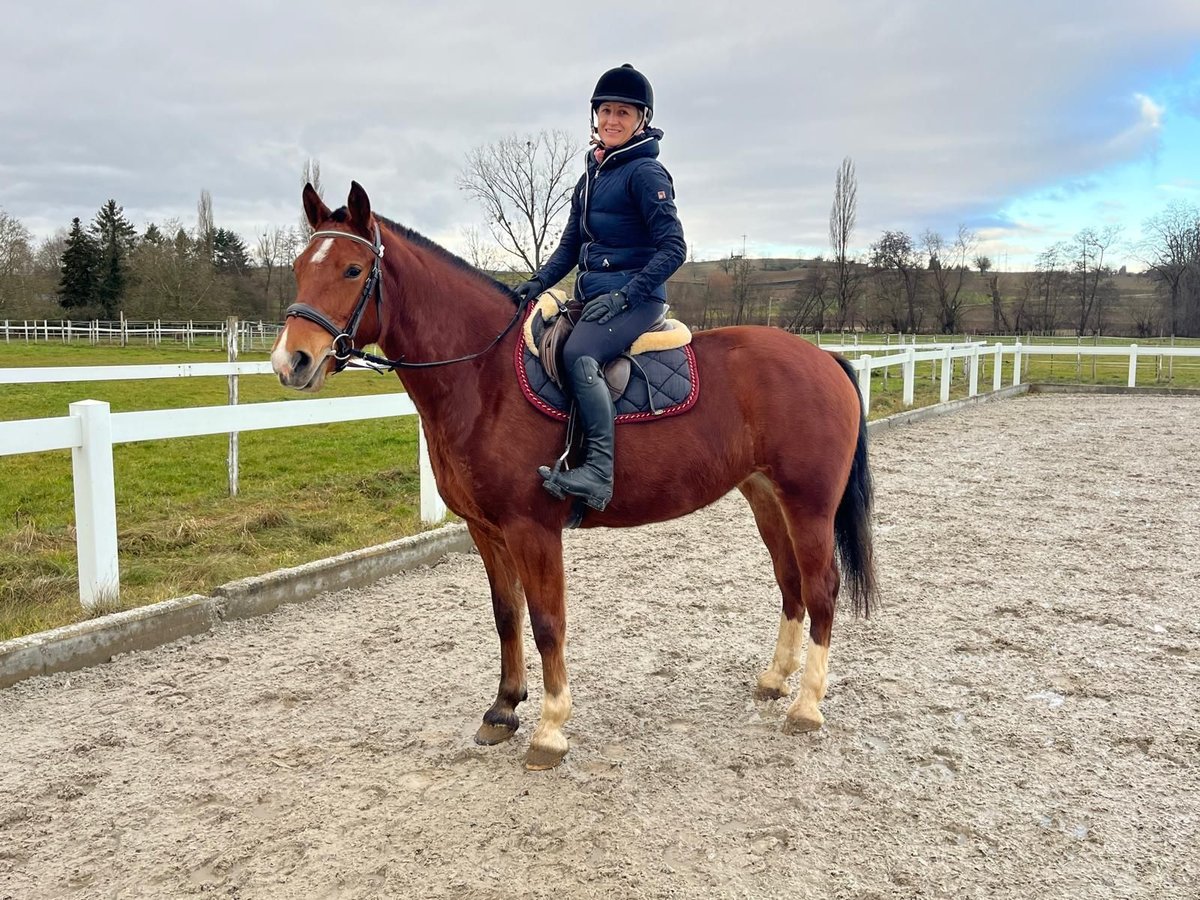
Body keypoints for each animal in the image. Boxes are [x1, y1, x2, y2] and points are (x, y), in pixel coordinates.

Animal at [272, 181, 873, 768]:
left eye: (353, 270)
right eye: (299, 266)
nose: (291, 362)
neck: (483, 377)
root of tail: (825, 359)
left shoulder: (532, 529)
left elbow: (546, 622)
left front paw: (550, 729)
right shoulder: (485, 530)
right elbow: (506, 615)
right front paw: (503, 710)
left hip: (809, 503)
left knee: (822, 587)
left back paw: (807, 705)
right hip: (766, 496)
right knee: (790, 583)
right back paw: (776, 679)